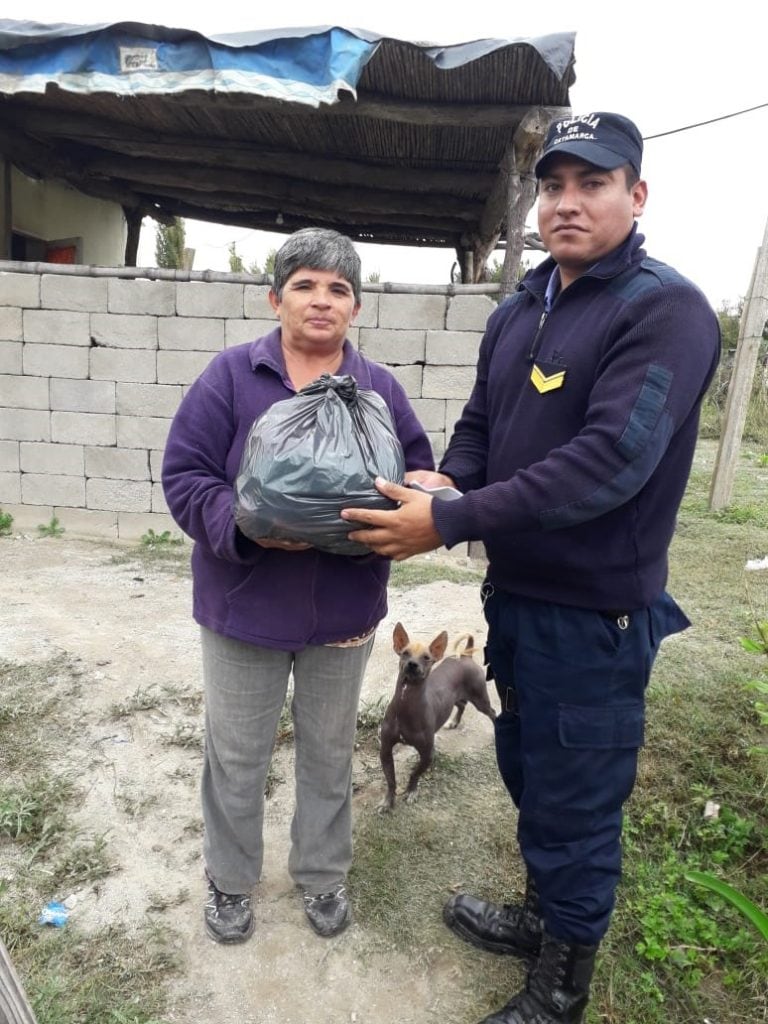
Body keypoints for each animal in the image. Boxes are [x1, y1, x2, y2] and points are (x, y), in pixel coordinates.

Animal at [380, 618, 499, 811]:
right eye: (405, 653)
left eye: (426, 658)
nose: (412, 664)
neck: (406, 704)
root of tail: (466, 655)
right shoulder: (385, 749)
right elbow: (391, 780)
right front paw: (388, 801)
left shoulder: (426, 754)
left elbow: (415, 773)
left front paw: (411, 791)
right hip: (455, 698)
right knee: (461, 705)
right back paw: (454, 722)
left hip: (480, 699)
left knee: (493, 713)